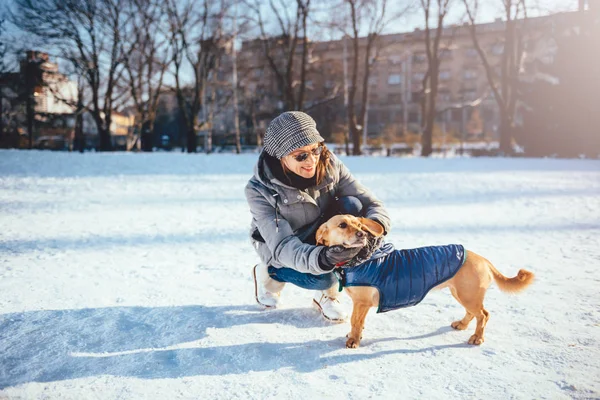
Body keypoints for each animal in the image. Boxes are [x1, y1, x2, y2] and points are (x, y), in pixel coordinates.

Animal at [314, 214, 536, 348]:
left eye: (360, 225)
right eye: (343, 225)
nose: (361, 234)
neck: (363, 258)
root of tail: (483, 259)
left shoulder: (361, 303)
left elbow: (355, 322)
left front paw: (353, 340)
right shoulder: (362, 304)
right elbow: (359, 323)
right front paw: (356, 336)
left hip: (468, 295)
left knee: (483, 315)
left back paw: (477, 338)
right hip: (462, 294)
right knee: (473, 314)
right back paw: (462, 325)